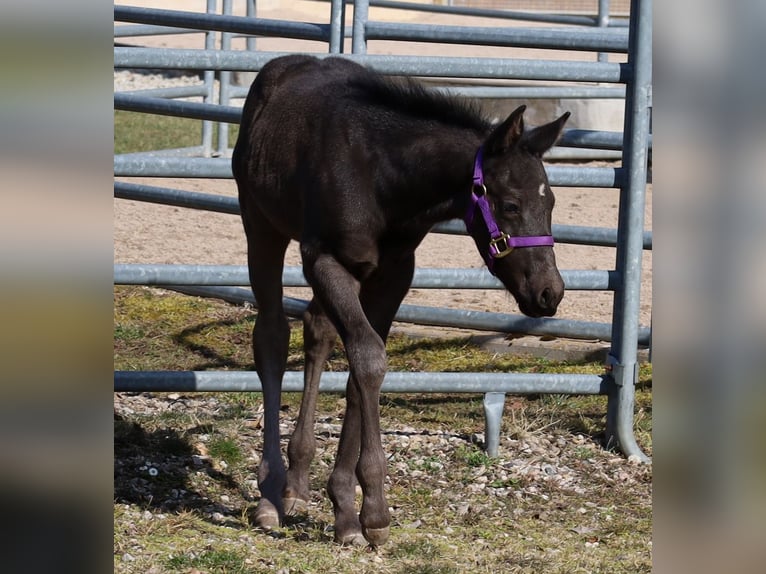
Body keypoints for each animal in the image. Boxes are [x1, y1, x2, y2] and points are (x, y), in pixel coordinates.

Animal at [231, 55, 568, 548]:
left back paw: (297, 480)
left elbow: (362, 370)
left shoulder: (394, 274)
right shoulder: (324, 259)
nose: (549, 292)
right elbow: (368, 359)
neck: (383, 179)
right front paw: (373, 511)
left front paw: (346, 509)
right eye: (509, 204)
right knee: (272, 336)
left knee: (317, 328)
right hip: (261, 224)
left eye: (552, 202)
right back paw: (272, 492)